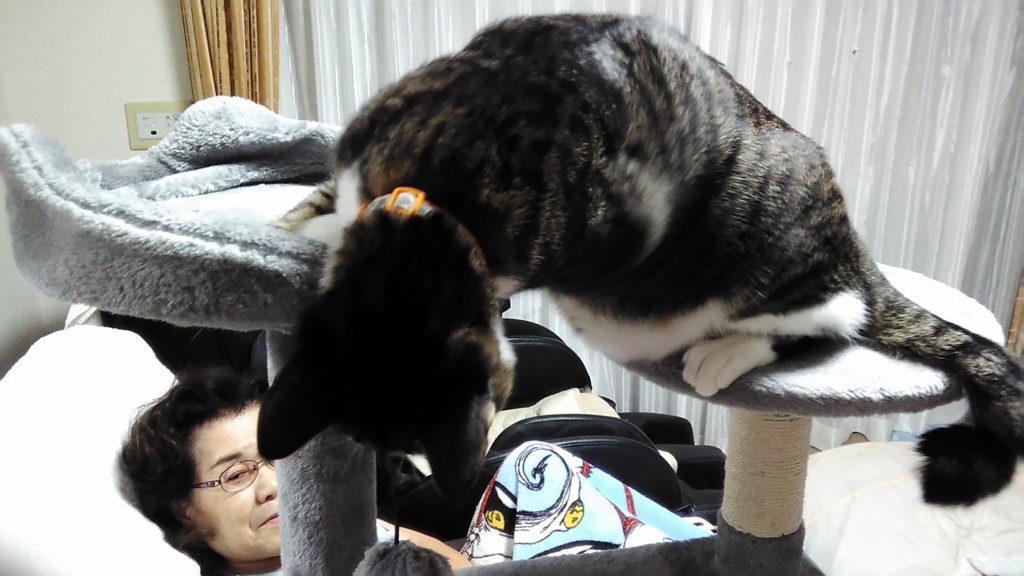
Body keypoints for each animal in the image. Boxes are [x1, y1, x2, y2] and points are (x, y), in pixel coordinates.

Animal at [257, 13, 1023, 506]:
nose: (404, 472)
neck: (424, 200)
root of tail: (853, 241)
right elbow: (316, 203)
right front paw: (279, 222)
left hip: (766, 242)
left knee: (833, 317)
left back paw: (728, 351)